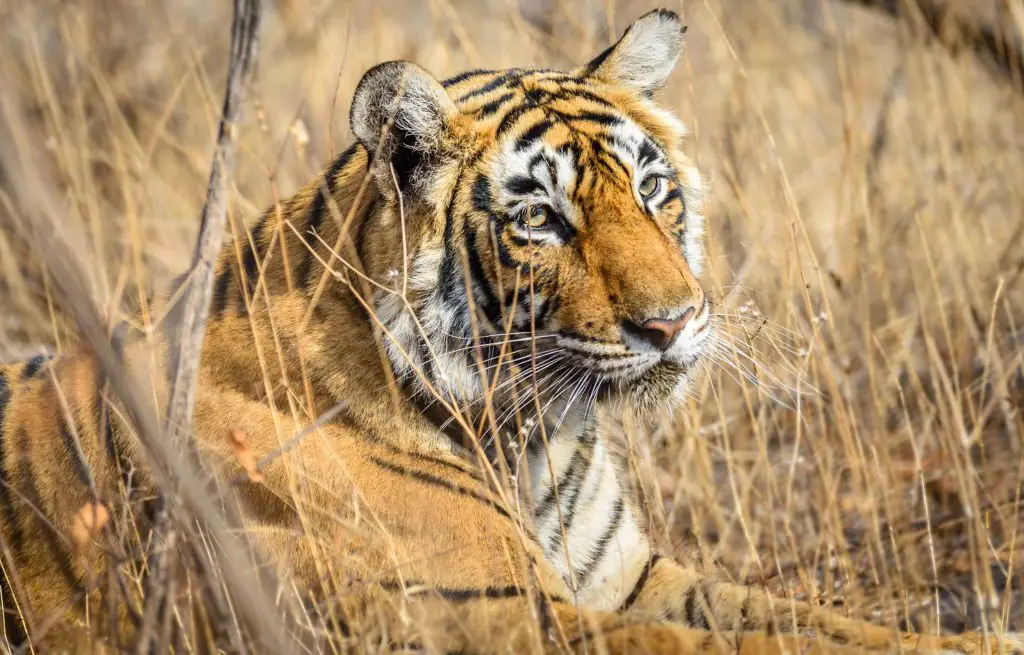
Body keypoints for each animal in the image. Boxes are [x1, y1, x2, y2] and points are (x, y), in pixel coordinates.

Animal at [0, 8, 1020, 653]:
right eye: (541, 219)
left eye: (652, 187)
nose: (674, 322)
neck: (534, 432)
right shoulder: (493, 615)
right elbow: (769, 647)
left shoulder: (629, 577)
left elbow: (824, 621)